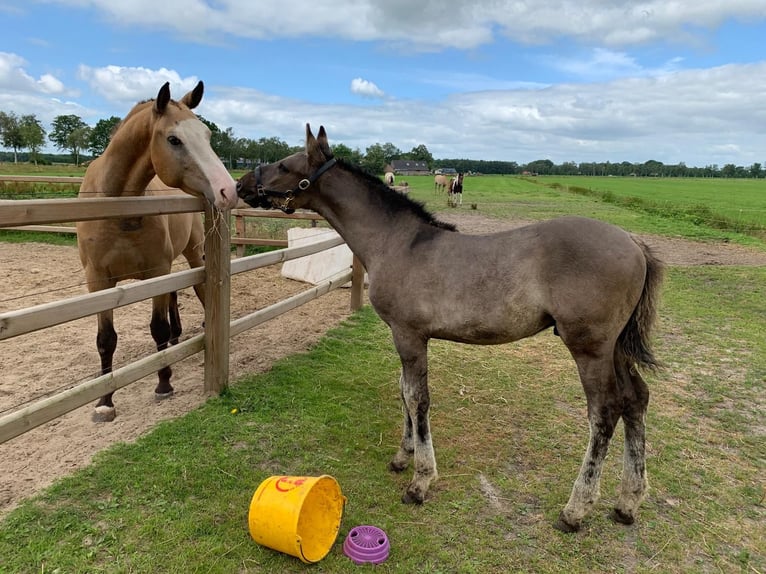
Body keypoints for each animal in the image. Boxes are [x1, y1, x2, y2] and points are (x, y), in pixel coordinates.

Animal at [76, 81, 238, 422]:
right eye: (174, 139)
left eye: (207, 136)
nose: (228, 190)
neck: (119, 209)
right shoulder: (97, 281)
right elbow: (105, 339)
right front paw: (104, 401)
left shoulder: (156, 272)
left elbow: (158, 329)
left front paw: (164, 382)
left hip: (192, 253)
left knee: (198, 292)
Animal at [236, 124, 664, 533]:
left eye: (284, 165)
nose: (240, 186)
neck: (398, 243)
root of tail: (634, 243)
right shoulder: (405, 337)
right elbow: (403, 391)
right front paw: (402, 456)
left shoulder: (409, 335)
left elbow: (416, 398)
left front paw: (420, 480)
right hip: (615, 348)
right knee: (635, 400)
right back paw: (627, 503)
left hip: (590, 348)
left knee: (604, 412)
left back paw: (576, 510)